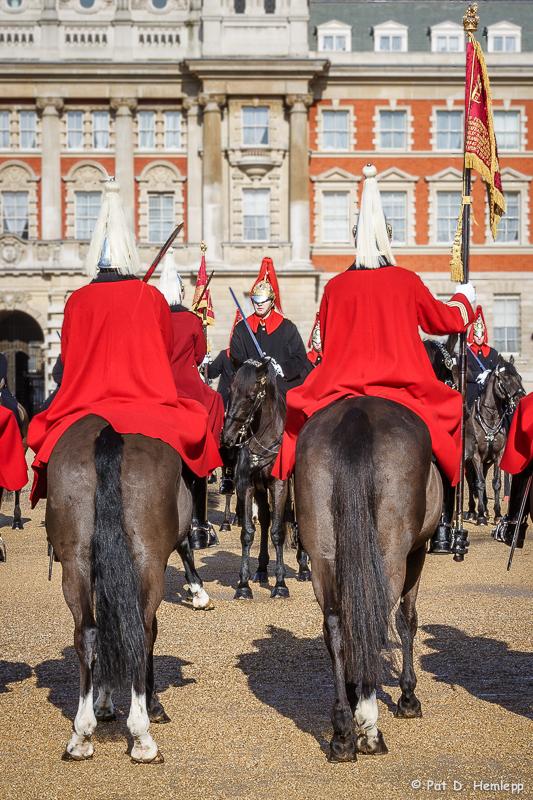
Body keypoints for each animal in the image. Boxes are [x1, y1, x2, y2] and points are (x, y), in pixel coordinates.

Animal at [44, 416, 193, 760]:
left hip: (76, 562)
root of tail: (109, 432)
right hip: (148, 561)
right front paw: (151, 706)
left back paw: (81, 734)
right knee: (141, 632)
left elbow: (106, 629)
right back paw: (142, 736)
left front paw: (102, 702)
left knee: (87, 632)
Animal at [220, 362, 312, 600]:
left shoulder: (279, 485)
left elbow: (278, 532)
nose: (227, 438)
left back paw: (303, 567)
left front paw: (280, 585)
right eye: (230, 391)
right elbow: (248, 532)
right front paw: (243, 585)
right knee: (264, 519)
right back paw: (261, 570)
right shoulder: (247, 485)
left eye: (251, 396)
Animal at [294, 398, 438, 764]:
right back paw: (369, 728)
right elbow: (407, 621)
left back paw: (343, 730)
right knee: (374, 622)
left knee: (336, 626)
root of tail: (356, 413)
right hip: (392, 555)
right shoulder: (417, 551)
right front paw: (407, 697)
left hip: (322, 557)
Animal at [466, 356, 524, 524]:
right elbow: (478, 483)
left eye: (519, 377)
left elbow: (496, 483)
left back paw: (485, 508)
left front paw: (497, 513)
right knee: (471, 480)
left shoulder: (498, 455)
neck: (490, 419)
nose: (521, 398)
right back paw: (472, 511)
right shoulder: (475, 455)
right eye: (506, 378)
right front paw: (479, 516)